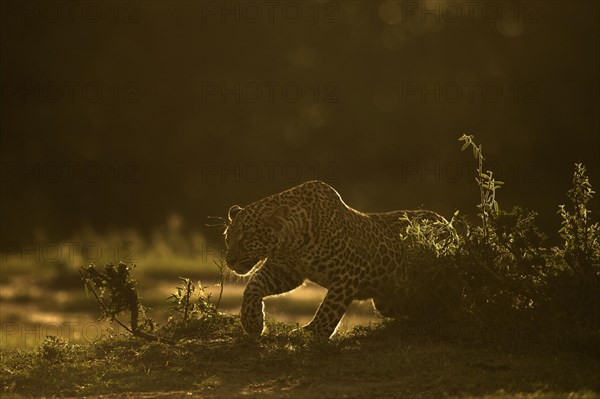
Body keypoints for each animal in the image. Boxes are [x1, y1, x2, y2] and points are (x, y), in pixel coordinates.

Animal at [223, 181, 448, 340]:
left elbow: (329, 308)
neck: (291, 242)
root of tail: (446, 223)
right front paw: (251, 321)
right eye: (228, 237)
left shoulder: (349, 272)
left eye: (246, 237)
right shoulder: (285, 271)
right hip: (386, 303)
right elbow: (253, 285)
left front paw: (312, 333)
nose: (229, 261)